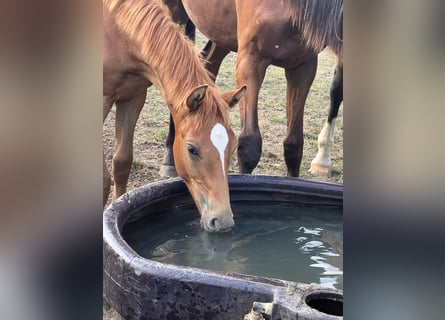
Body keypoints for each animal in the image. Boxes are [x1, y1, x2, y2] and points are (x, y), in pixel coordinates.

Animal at [102, 0, 245, 232]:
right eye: (192, 149)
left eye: (233, 146)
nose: (222, 221)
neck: (115, 30)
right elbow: (104, 179)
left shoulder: (133, 97)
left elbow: (122, 163)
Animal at [161, 0, 342, 178]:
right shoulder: (250, 62)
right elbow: (249, 145)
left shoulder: (303, 67)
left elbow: (294, 145)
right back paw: (170, 158)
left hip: (221, 32)